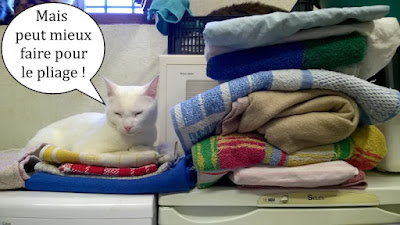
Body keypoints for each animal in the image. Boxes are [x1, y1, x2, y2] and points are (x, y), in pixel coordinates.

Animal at [25, 75, 161, 155]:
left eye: (138, 113)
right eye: (118, 113)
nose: (127, 126)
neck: (132, 139)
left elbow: (152, 147)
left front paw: (139, 148)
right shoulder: (85, 148)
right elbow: (121, 150)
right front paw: (134, 148)